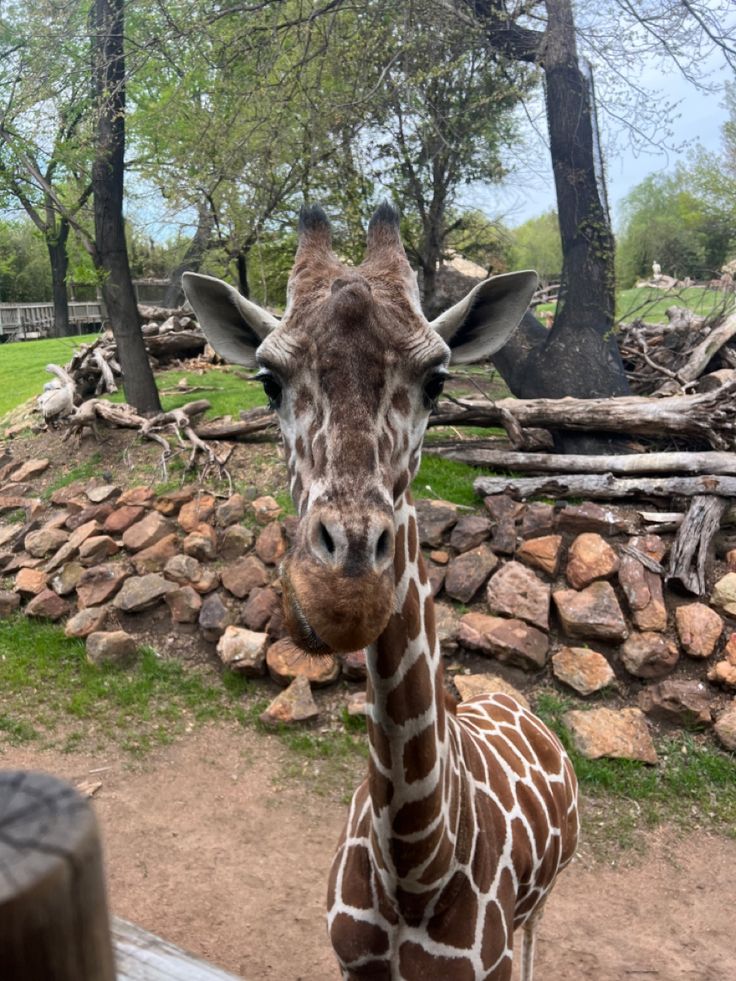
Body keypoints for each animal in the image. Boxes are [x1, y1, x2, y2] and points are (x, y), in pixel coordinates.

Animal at [183, 203, 576, 976]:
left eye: (437, 381)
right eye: (268, 381)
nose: (344, 593)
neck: (418, 864)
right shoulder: (348, 962)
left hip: (547, 895)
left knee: (536, 937)